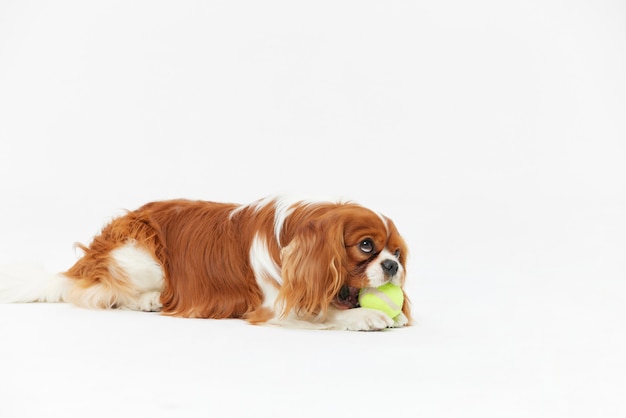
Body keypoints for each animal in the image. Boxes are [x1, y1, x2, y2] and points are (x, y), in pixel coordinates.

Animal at [0, 195, 410, 330]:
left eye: (397, 252)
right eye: (367, 246)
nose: (393, 267)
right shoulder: (275, 306)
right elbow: (322, 313)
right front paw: (364, 315)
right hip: (139, 252)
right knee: (101, 291)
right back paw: (150, 300)